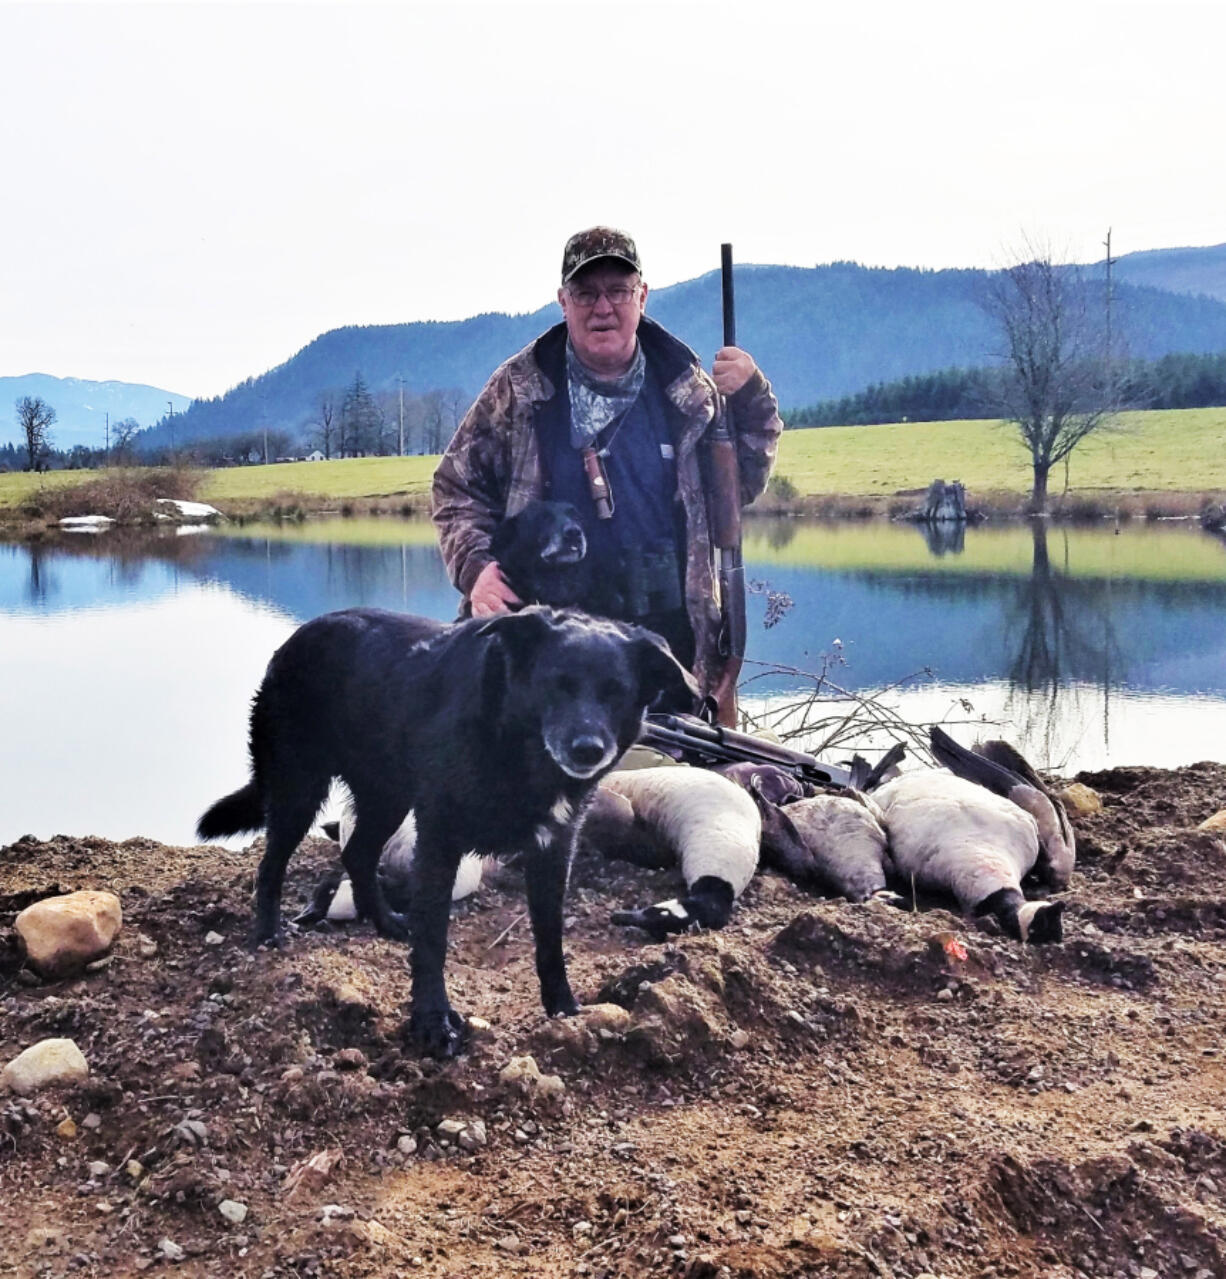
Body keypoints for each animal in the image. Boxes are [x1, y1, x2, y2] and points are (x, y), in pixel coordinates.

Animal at [201, 608, 700, 1059]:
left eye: (617, 693)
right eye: (555, 684)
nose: (588, 750)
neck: (514, 747)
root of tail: (294, 640)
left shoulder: (553, 848)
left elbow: (550, 937)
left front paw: (563, 1007)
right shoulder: (440, 839)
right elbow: (433, 938)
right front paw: (432, 1022)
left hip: (387, 794)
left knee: (358, 854)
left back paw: (387, 922)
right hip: (298, 788)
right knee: (272, 863)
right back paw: (268, 934)